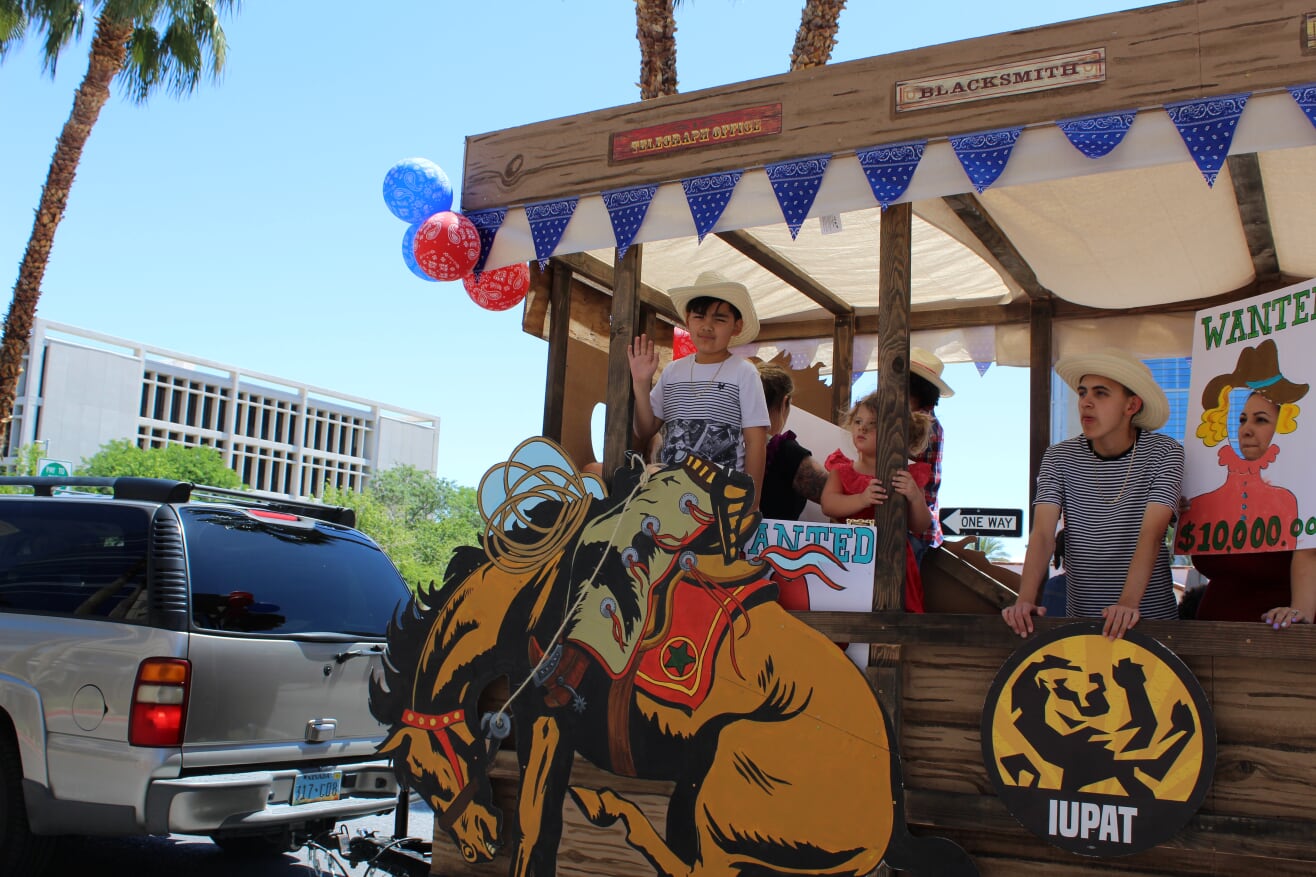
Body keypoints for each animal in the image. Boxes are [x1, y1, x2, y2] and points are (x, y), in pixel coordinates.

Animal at [371, 437, 979, 874]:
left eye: (419, 773)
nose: (475, 843)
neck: (535, 594)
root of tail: (892, 811)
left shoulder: (540, 716)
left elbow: (534, 825)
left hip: (723, 779)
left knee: (696, 868)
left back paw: (617, 811)